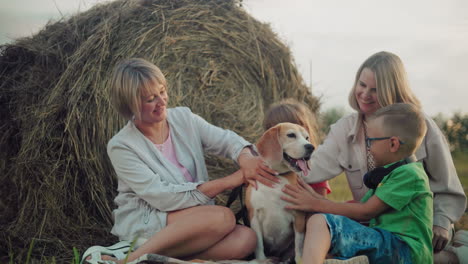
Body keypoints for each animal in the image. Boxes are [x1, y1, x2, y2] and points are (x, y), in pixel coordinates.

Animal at [245, 122, 314, 262]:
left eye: (307, 137)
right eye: (291, 135)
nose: (311, 147)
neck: (277, 177)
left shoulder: (298, 216)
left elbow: (299, 245)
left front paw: (300, 259)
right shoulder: (254, 216)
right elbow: (258, 244)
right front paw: (261, 260)